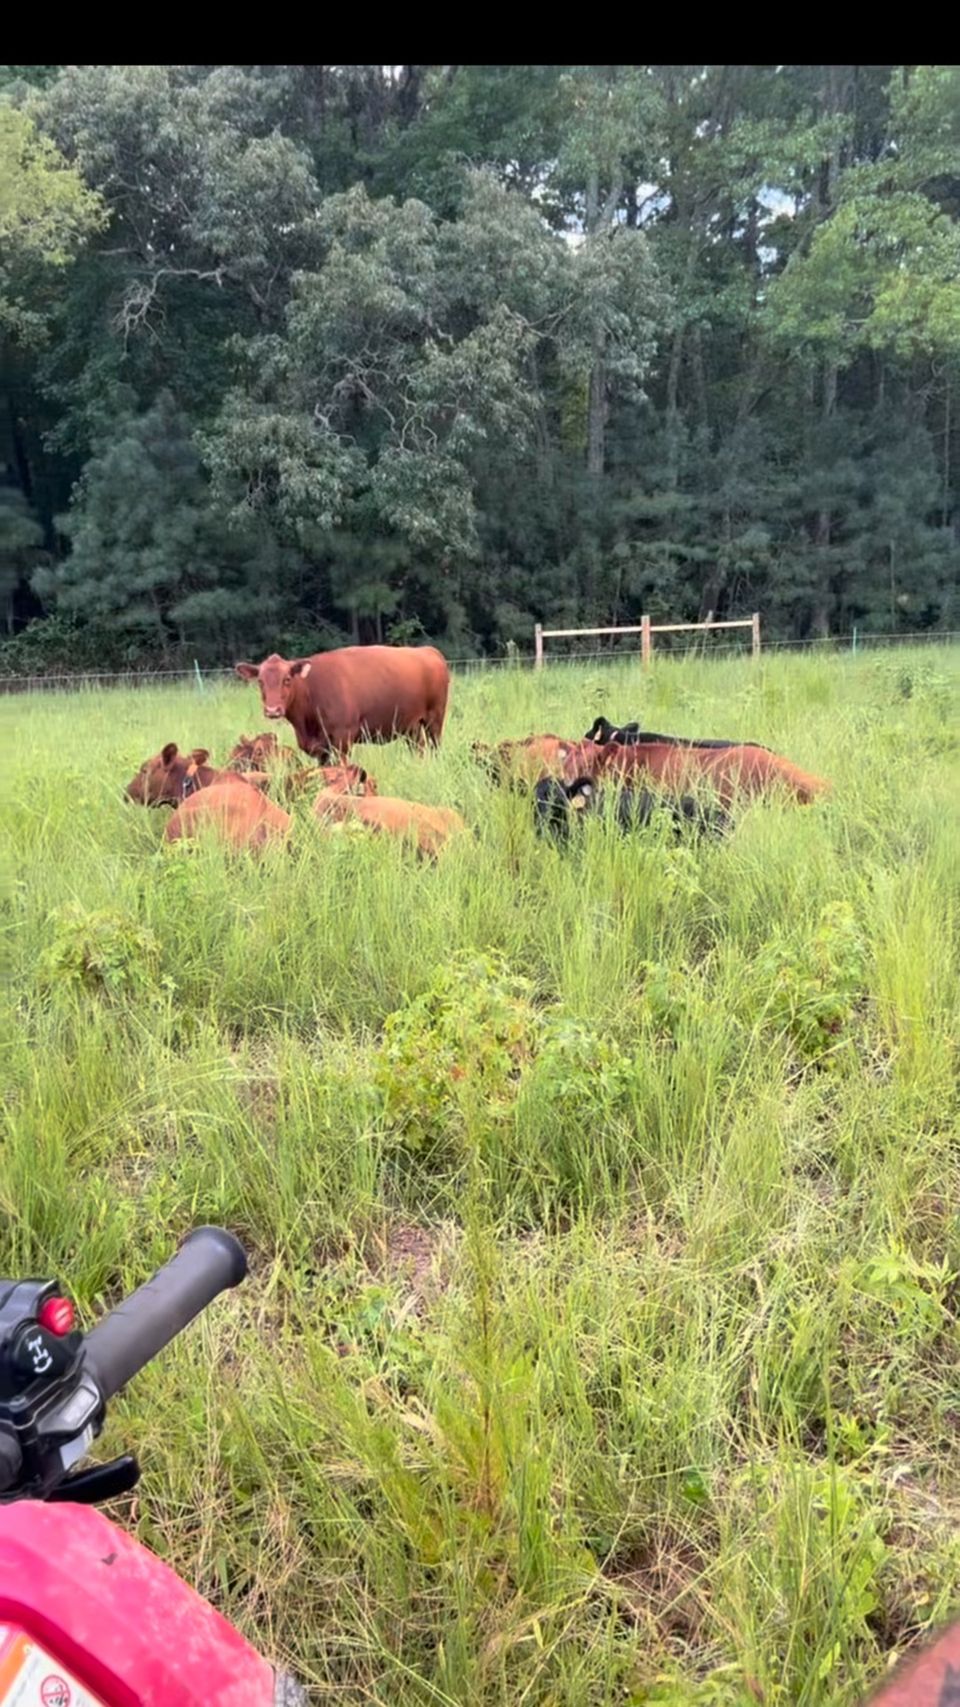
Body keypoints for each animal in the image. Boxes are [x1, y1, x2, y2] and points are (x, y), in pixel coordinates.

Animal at [234, 645, 450, 760]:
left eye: (287, 679)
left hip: (435, 720)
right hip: (411, 727)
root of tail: (427, 650)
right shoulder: (321, 749)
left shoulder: (342, 740)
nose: (272, 710)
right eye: (260, 681)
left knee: (435, 747)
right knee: (419, 749)